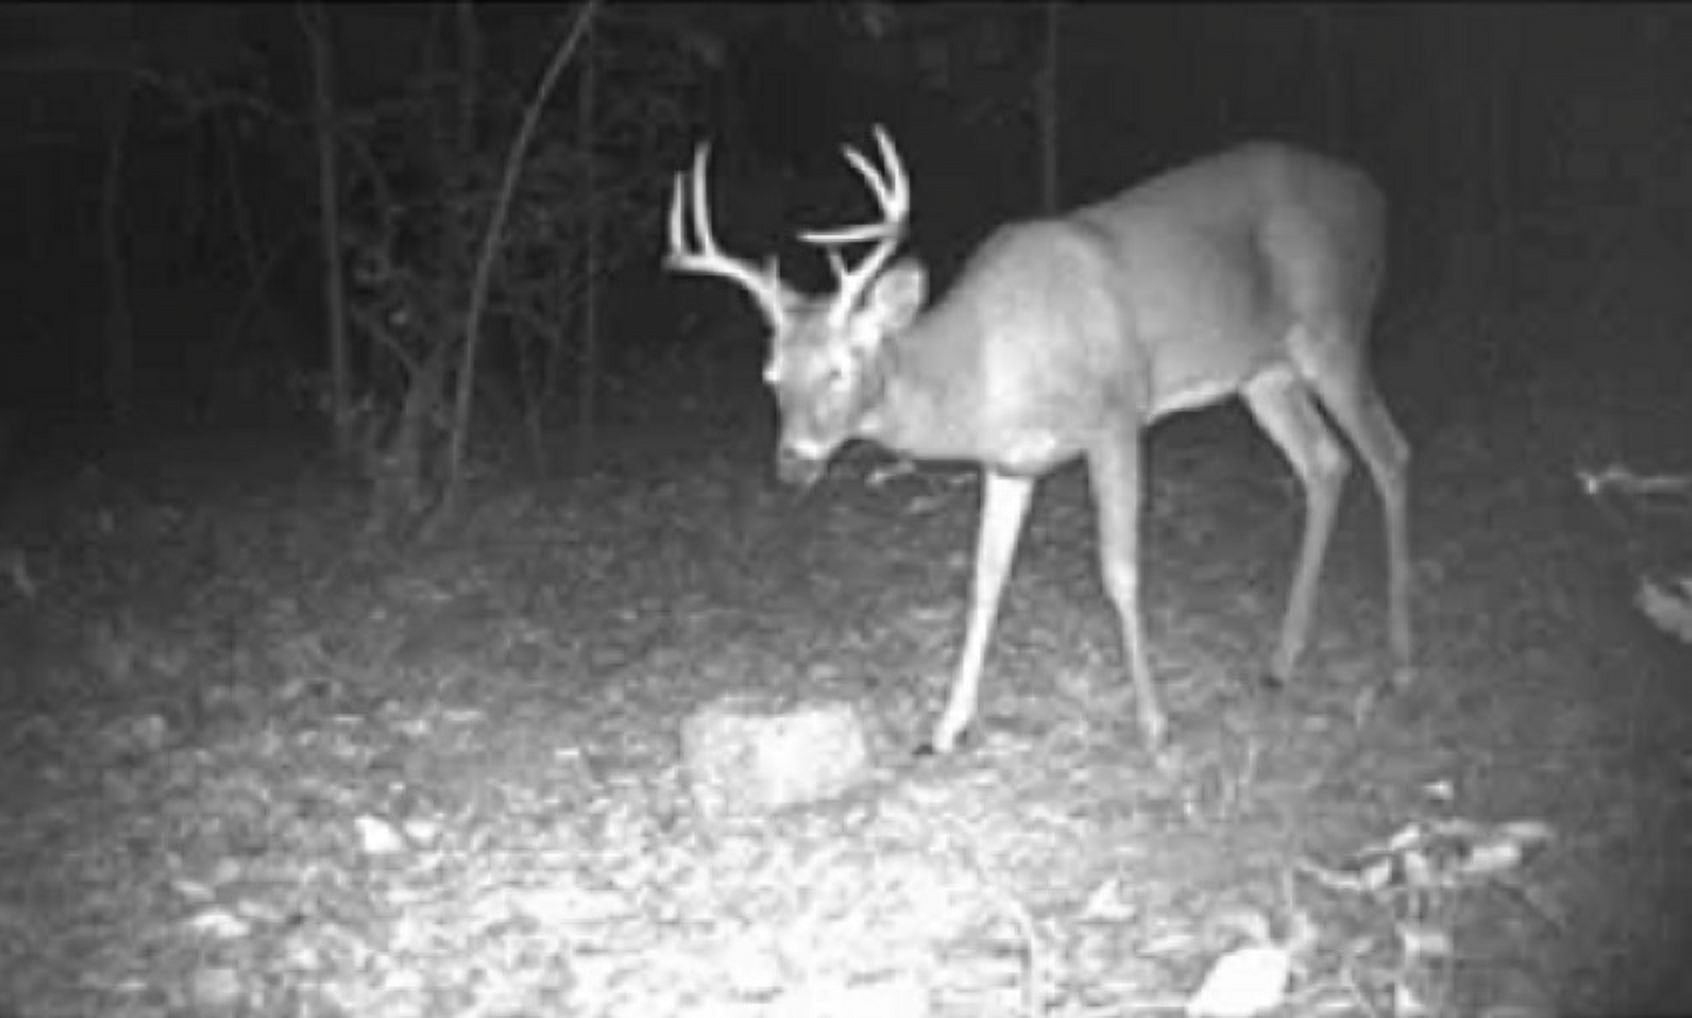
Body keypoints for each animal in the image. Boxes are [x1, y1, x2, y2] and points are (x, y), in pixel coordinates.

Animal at [665, 127, 1412, 756]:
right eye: (770, 376)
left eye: (841, 367)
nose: (793, 465)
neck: (986, 363)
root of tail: (1374, 193)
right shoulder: (1011, 463)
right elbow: (984, 579)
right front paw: (946, 727)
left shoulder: (1117, 418)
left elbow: (1120, 570)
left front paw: (1154, 724)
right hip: (1265, 373)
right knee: (1326, 463)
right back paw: (1282, 660)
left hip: (1334, 329)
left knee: (1390, 452)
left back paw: (1400, 664)